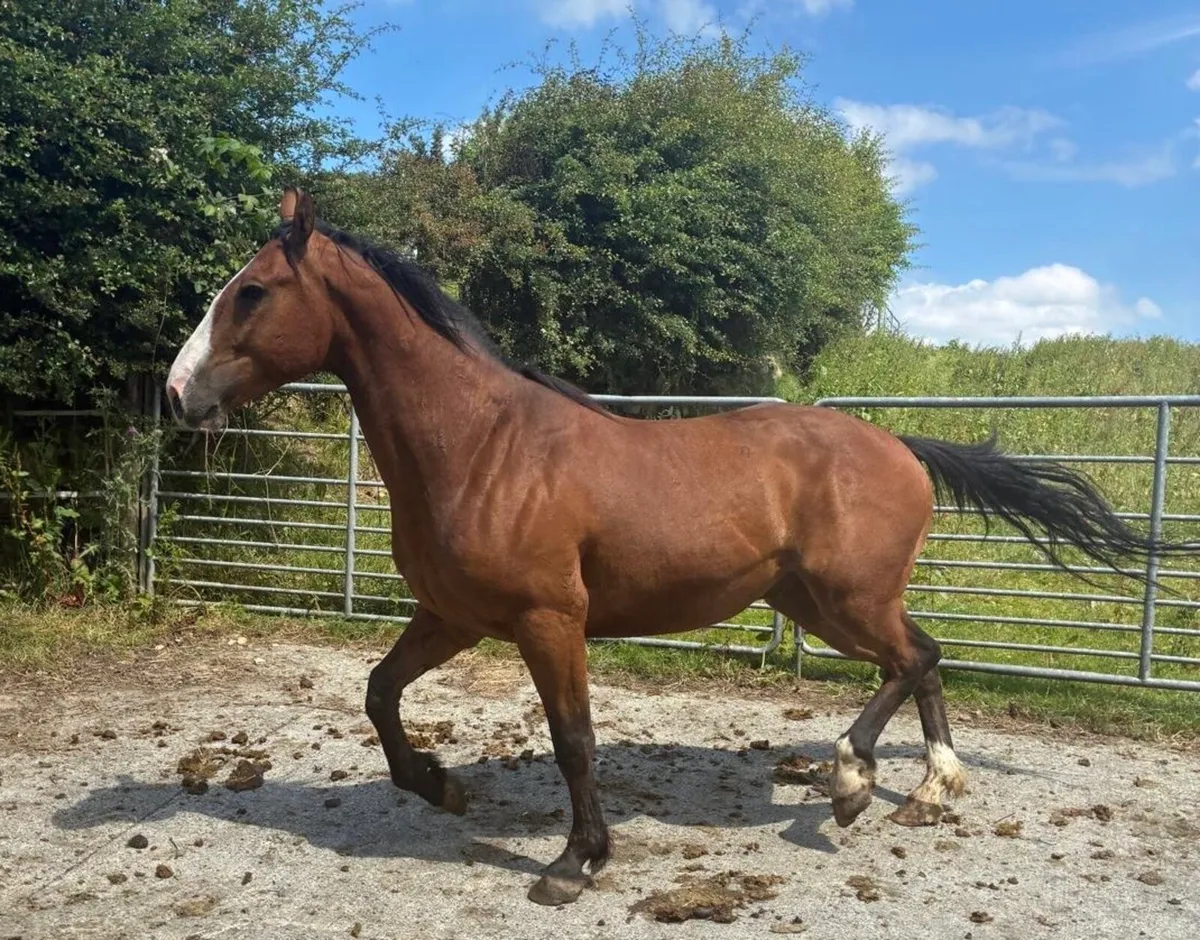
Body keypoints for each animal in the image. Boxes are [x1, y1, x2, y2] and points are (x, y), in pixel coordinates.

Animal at [165, 188, 1191, 906]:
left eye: (251, 292)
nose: (178, 394)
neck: (480, 445)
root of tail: (900, 446)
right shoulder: (453, 616)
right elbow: (379, 695)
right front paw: (440, 788)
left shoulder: (548, 619)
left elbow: (574, 740)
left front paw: (575, 865)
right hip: (816, 603)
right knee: (926, 659)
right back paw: (920, 791)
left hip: (846, 600)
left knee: (914, 660)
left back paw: (855, 779)